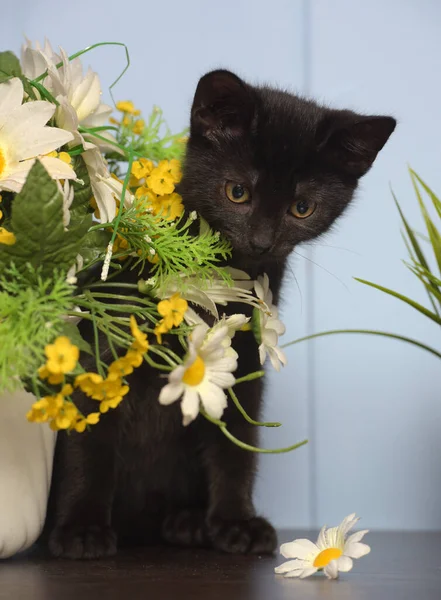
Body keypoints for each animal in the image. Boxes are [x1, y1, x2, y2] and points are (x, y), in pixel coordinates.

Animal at [45, 69, 396, 556]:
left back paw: (187, 520)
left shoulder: (243, 357)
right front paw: (81, 528)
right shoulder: (101, 353)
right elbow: (88, 439)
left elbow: (237, 443)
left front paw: (236, 521)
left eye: (302, 208)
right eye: (237, 192)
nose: (262, 242)